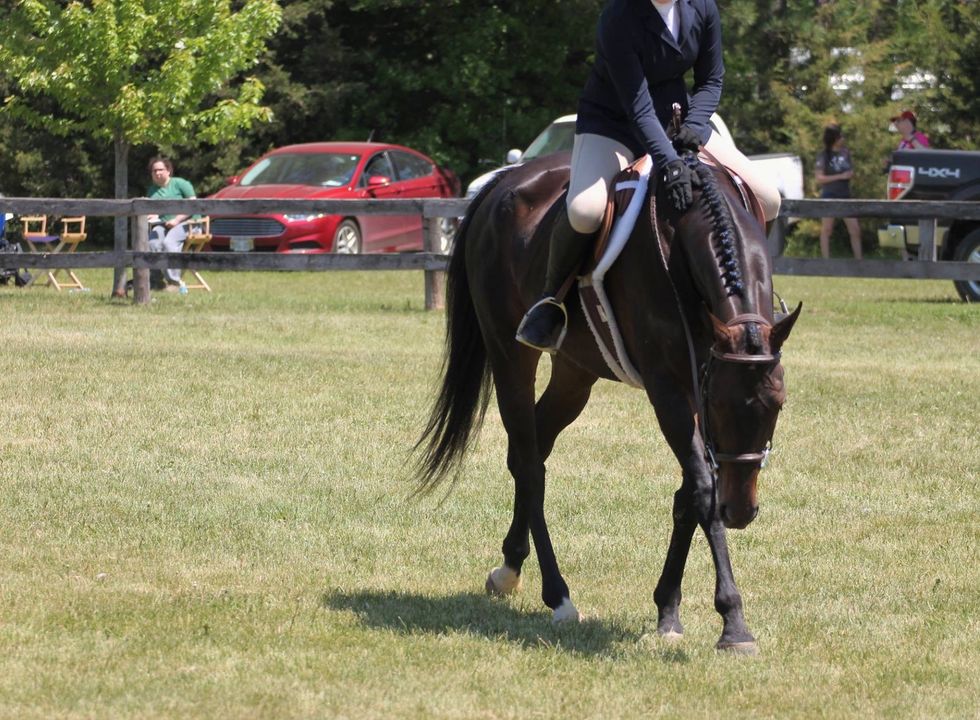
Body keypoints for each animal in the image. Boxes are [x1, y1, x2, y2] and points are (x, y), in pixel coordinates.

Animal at [414, 150, 801, 653]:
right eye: (720, 406)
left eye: (778, 405)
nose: (740, 512)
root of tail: (505, 180)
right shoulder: (670, 390)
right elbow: (702, 488)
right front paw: (733, 623)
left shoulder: (693, 383)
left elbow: (688, 493)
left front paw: (668, 611)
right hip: (508, 353)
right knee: (530, 462)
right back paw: (558, 596)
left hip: (575, 372)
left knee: (531, 449)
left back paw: (509, 568)